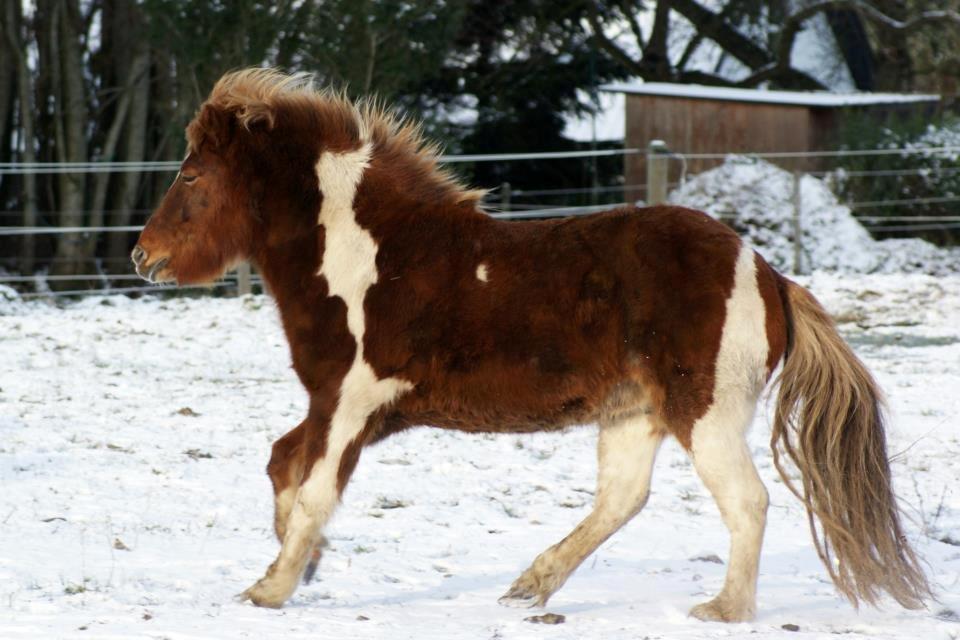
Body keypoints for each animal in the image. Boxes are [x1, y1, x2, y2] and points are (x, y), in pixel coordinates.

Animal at [135, 70, 928, 620]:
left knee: (747, 501)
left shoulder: (353, 401)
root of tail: (768, 273)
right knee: (622, 499)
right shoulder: (347, 404)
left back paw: (723, 608)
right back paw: (531, 584)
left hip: (703, 412)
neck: (367, 258)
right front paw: (308, 566)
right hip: (633, 411)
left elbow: (310, 492)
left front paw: (271, 587)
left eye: (192, 174)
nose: (144, 256)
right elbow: (284, 467)